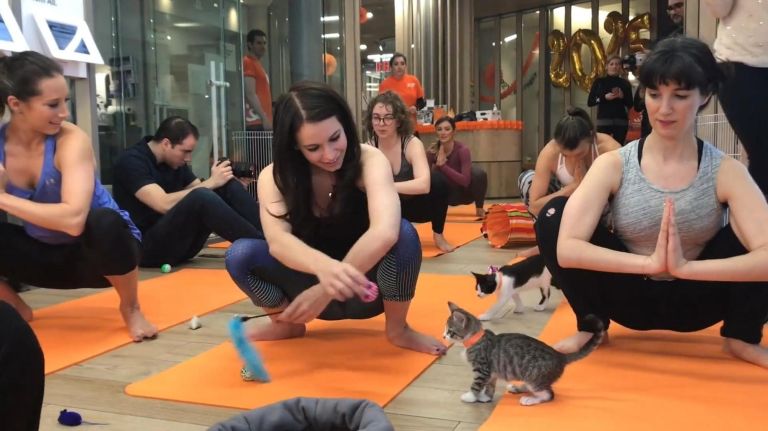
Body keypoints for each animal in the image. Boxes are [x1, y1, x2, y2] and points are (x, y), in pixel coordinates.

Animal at [444, 302, 608, 406]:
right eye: (446, 330)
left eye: (450, 331)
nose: (444, 336)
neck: (475, 339)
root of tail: (559, 355)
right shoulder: (492, 372)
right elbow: (489, 385)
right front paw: (485, 397)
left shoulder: (482, 368)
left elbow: (476, 384)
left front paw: (470, 396)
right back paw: (517, 388)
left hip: (534, 377)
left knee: (548, 394)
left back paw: (530, 399)